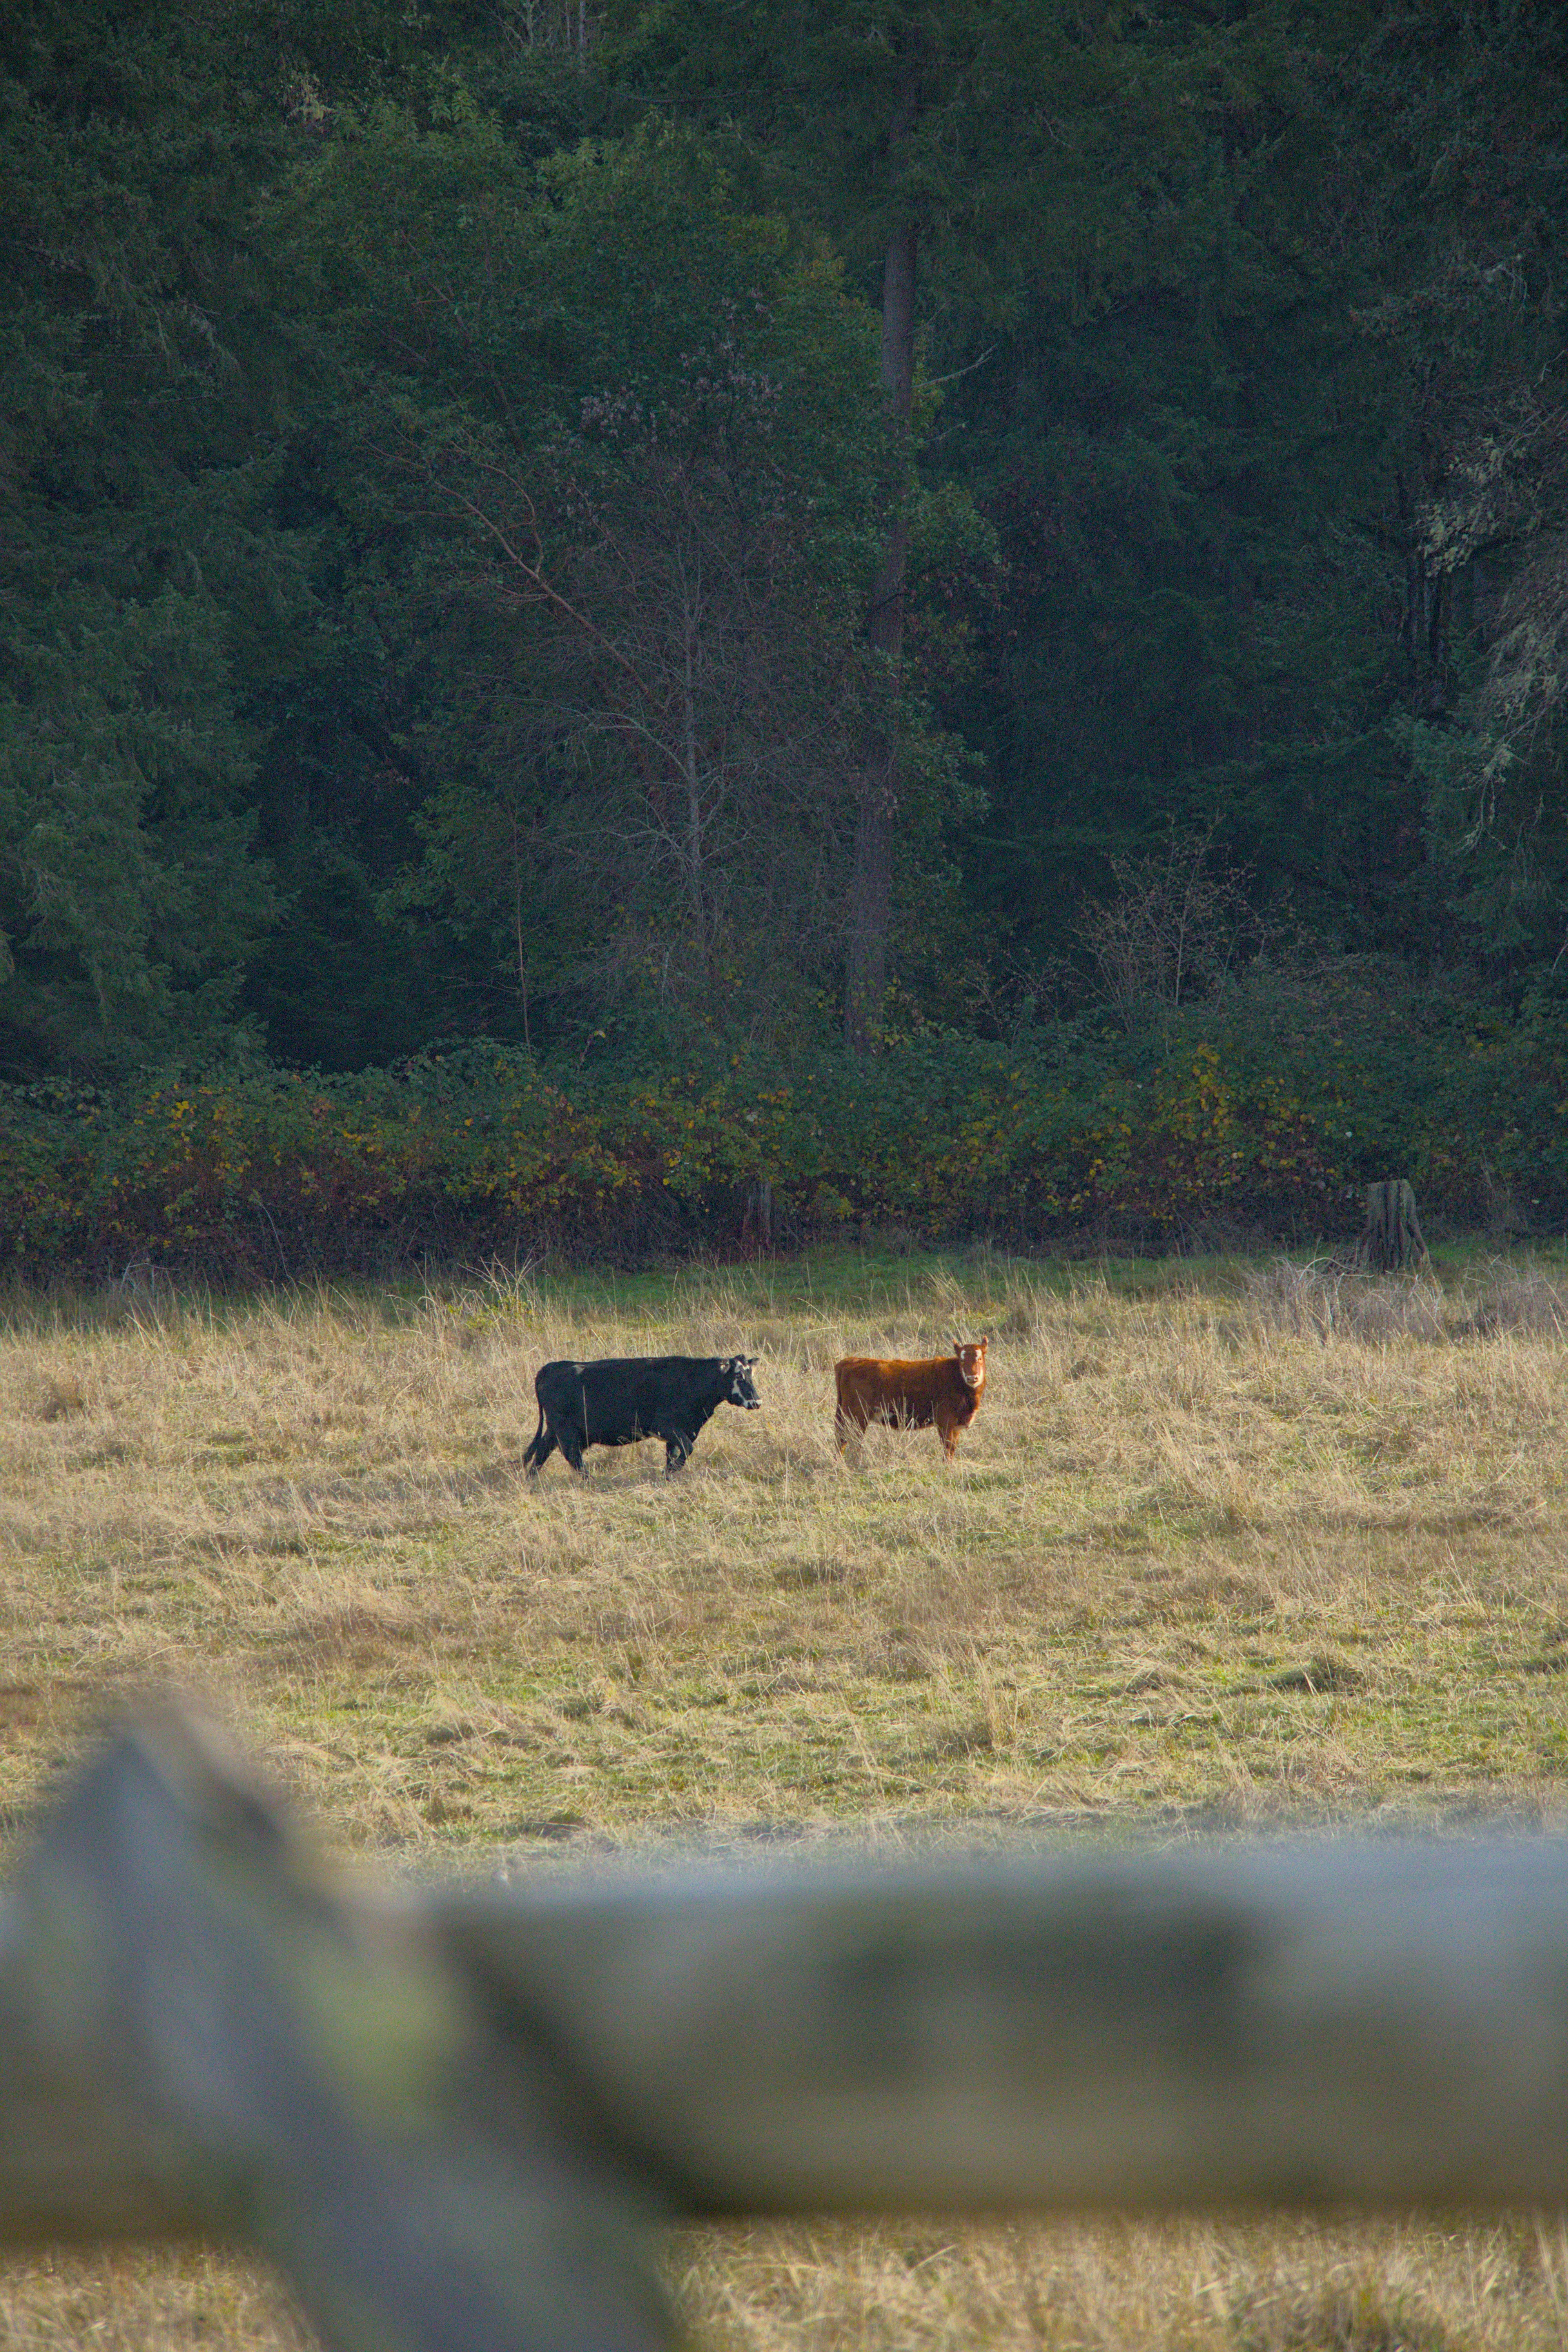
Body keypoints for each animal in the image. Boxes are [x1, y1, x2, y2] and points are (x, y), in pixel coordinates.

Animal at [523, 1354, 761, 1478]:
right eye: (739, 1376)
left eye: (751, 1374)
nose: (757, 1402)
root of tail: (553, 1367)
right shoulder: (665, 1427)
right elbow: (686, 1449)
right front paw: (669, 1473)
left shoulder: (682, 1431)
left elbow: (674, 1454)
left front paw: (668, 1475)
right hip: (566, 1429)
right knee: (572, 1456)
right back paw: (591, 1481)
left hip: (555, 1429)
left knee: (543, 1451)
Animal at [834, 1339, 988, 1464]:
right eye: (962, 1360)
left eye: (980, 1359)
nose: (972, 1378)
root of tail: (850, 1361)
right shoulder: (945, 1422)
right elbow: (948, 1449)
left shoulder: (956, 1427)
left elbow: (953, 1449)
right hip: (856, 1416)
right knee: (851, 1441)